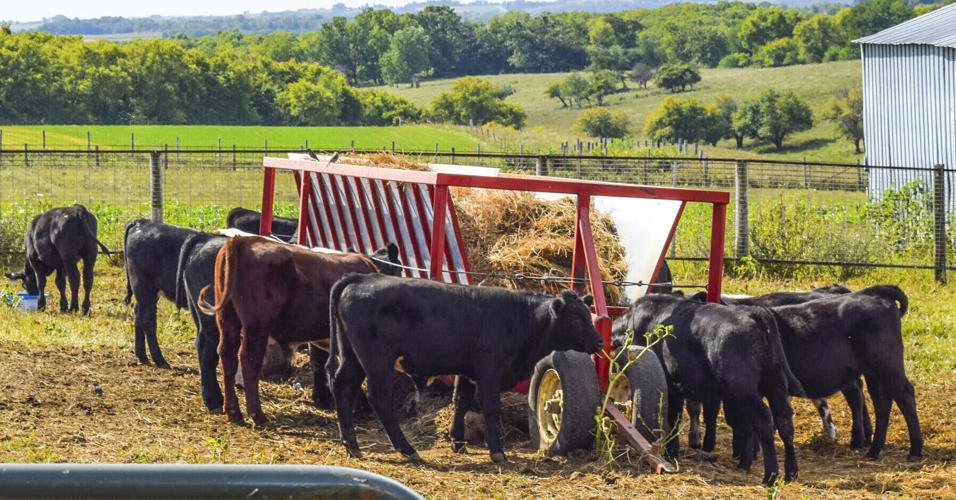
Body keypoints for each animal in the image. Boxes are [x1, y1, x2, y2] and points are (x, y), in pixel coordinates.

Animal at [197, 235, 401, 425]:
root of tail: (243, 240)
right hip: (257, 325)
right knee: (249, 360)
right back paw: (257, 414)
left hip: (227, 321)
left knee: (227, 357)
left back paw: (233, 412)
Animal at [327, 274, 603, 463]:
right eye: (576, 318)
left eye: (588, 315)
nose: (599, 342)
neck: (518, 317)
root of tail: (363, 277)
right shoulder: (489, 371)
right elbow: (490, 408)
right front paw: (497, 451)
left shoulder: (467, 372)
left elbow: (461, 402)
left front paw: (458, 442)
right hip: (377, 362)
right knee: (378, 399)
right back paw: (406, 449)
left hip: (351, 358)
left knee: (342, 388)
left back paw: (351, 445)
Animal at [613, 294, 804, 484]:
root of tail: (753, 313)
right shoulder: (676, 387)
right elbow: (676, 417)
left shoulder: (670, 384)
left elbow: (672, 418)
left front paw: (671, 452)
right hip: (774, 385)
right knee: (783, 420)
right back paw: (789, 472)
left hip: (745, 390)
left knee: (764, 420)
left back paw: (770, 474)